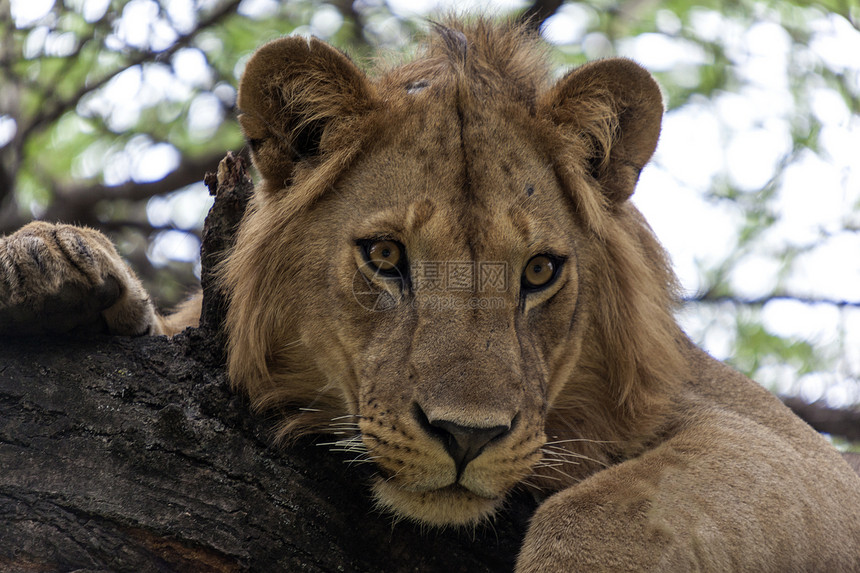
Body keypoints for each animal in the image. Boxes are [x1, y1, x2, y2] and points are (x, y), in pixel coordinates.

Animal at [1, 15, 860, 568]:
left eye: (540, 271)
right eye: (385, 256)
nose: (466, 436)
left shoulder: (800, 458)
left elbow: (602, 511)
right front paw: (48, 264)